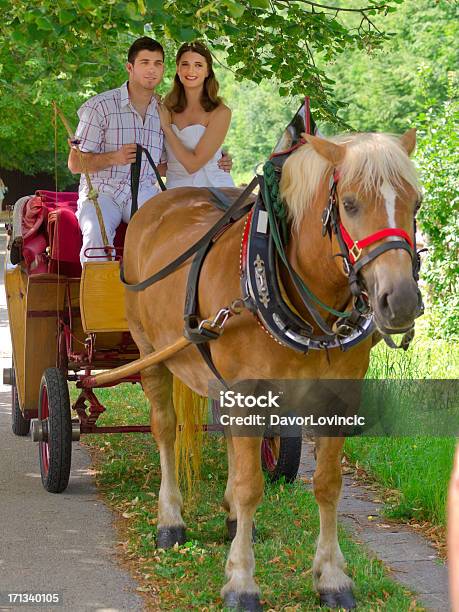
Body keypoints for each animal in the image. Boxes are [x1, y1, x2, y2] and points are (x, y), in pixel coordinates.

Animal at [123, 128, 424, 608]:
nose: (400, 301)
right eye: (350, 203)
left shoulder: (338, 395)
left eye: (415, 204)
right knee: (165, 429)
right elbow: (252, 486)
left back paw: (229, 518)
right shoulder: (248, 391)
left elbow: (328, 483)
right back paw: (170, 519)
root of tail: (156, 205)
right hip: (150, 350)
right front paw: (241, 582)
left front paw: (332, 577)